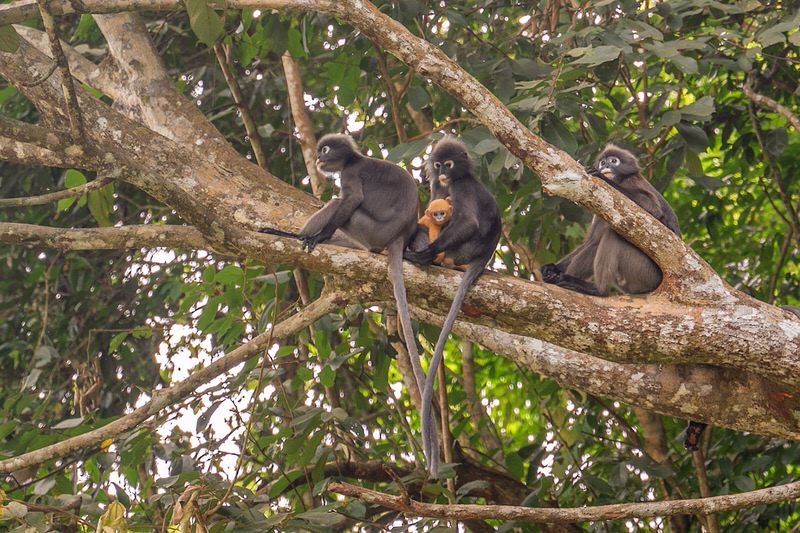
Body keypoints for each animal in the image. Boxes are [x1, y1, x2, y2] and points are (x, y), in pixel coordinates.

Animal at [260, 134, 438, 462]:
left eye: (325, 150)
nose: (318, 158)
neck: (354, 160)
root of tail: (398, 237)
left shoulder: (351, 176)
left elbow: (352, 199)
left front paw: (317, 237)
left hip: (368, 230)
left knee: (338, 204)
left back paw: (296, 237)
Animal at [406, 136, 500, 474]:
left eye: (449, 164)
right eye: (438, 164)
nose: (443, 173)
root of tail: (482, 256)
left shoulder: (462, 188)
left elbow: (468, 220)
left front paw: (425, 250)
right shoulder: (437, 189)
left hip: (463, 249)